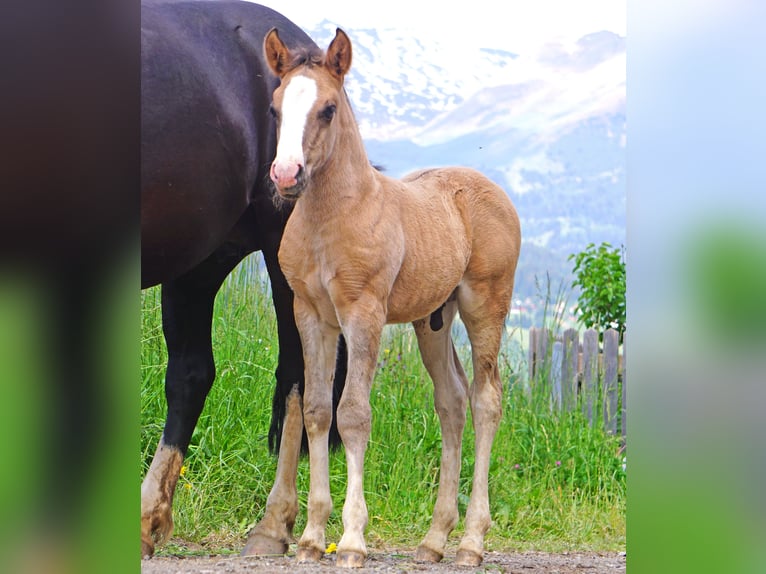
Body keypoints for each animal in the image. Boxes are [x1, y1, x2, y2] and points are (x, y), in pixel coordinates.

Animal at [142, 0, 346, 560]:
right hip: (198, 258)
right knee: (190, 375)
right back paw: (149, 517)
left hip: (282, 256)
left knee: (298, 376)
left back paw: (273, 524)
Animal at [264, 28, 520, 572]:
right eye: (276, 107)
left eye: (329, 108)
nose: (286, 175)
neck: (332, 217)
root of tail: (494, 190)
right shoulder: (311, 316)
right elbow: (317, 410)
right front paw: (311, 537)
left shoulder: (364, 313)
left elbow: (353, 414)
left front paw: (352, 540)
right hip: (433, 320)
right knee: (452, 402)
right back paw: (434, 539)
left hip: (485, 304)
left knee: (486, 400)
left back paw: (471, 541)